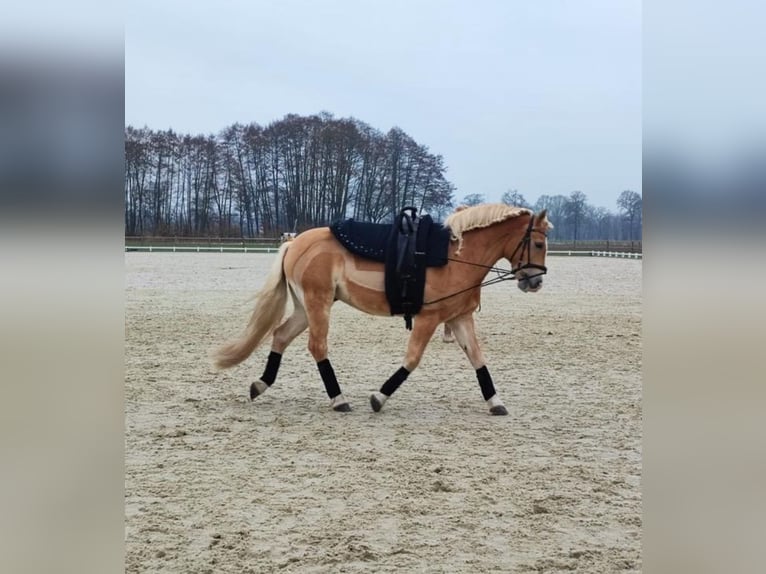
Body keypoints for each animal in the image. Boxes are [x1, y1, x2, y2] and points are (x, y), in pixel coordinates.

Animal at [213, 205, 556, 416]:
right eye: (539, 244)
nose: (536, 281)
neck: (455, 257)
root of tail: (294, 243)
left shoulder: (459, 317)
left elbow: (478, 358)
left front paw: (495, 402)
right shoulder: (429, 318)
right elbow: (412, 359)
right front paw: (379, 397)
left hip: (305, 307)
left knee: (281, 335)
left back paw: (261, 384)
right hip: (317, 303)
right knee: (317, 346)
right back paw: (339, 399)